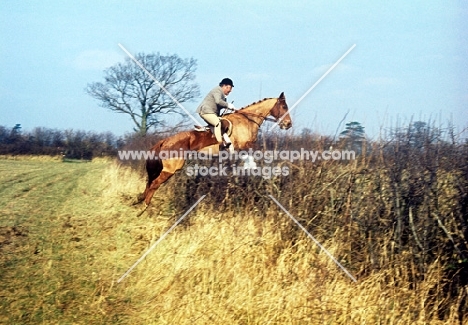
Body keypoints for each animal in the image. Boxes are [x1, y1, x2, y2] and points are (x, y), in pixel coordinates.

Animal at [136, 91, 292, 205]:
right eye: (284, 107)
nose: (288, 124)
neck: (247, 121)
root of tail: (164, 141)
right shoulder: (245, 147)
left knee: (151, 182)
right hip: (171, 168)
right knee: (154, 184)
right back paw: (145, 207)